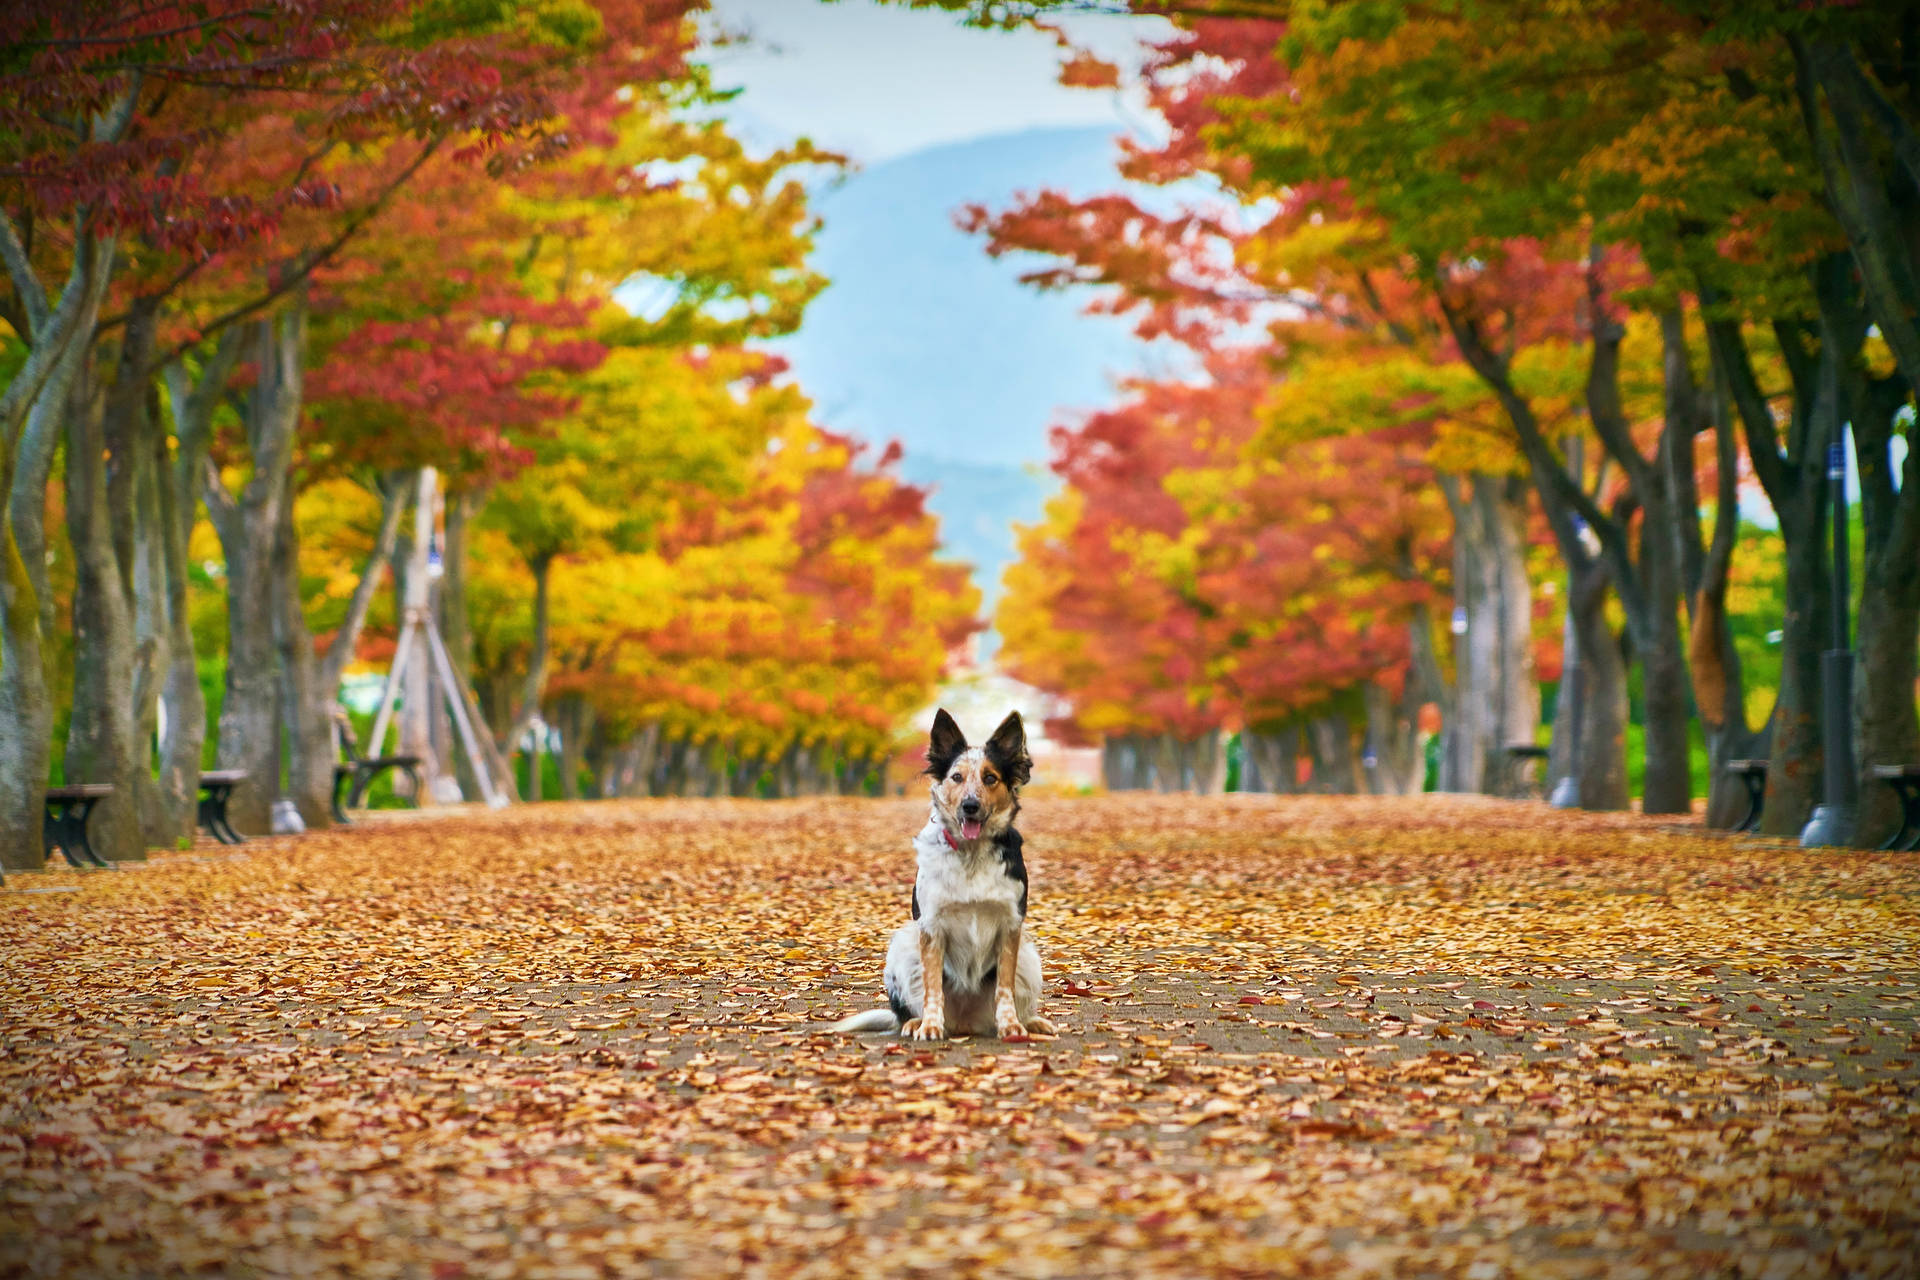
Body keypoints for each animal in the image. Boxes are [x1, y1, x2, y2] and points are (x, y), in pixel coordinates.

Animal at [833, 710, 1059, 1043]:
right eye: (956, 777)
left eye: (990, 778)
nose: (970, 805)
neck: (971, 853)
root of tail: (966, 1024)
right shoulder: (931, 927)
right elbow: (933, 989)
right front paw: (929, 1025)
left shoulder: (1010, 927)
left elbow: (1004, 989)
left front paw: (1011, 1025)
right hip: (904, 944)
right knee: (909, 1009)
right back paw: (914, 1023)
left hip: (1029, 957)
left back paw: (1031, 1021)